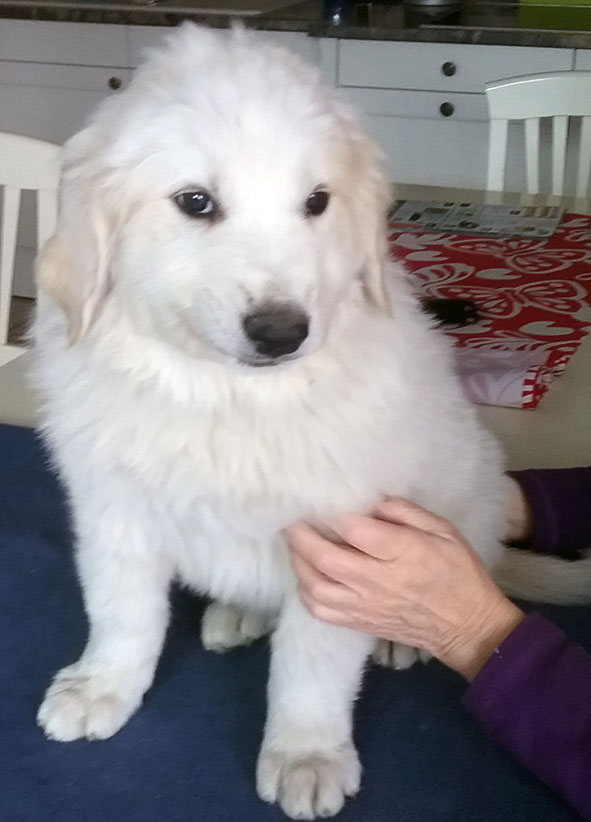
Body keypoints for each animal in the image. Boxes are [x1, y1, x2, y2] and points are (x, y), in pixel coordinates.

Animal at [31, 23, 586, 820]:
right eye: (195, 202)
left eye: (317, 202)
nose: (281, 333)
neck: (227, 398)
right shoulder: (114, 509)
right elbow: (120, 610)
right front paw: (101, 684)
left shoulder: (346, 548)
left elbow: (312, 666)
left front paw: (306, 754)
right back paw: (239, 612)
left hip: (465, 496)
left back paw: (401, 639)